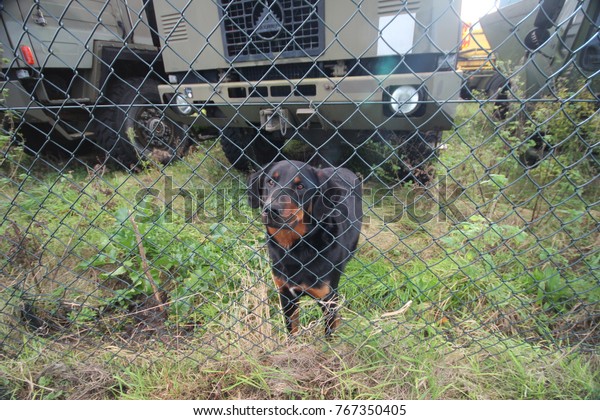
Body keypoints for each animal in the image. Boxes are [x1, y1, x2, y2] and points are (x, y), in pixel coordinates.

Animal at [247, 159, 364, 336]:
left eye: (300, 186)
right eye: (270, 181)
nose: (271, 210)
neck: (295, 248)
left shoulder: (328, 299)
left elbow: (329, 334)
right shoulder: (286, 294)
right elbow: (292, 331)